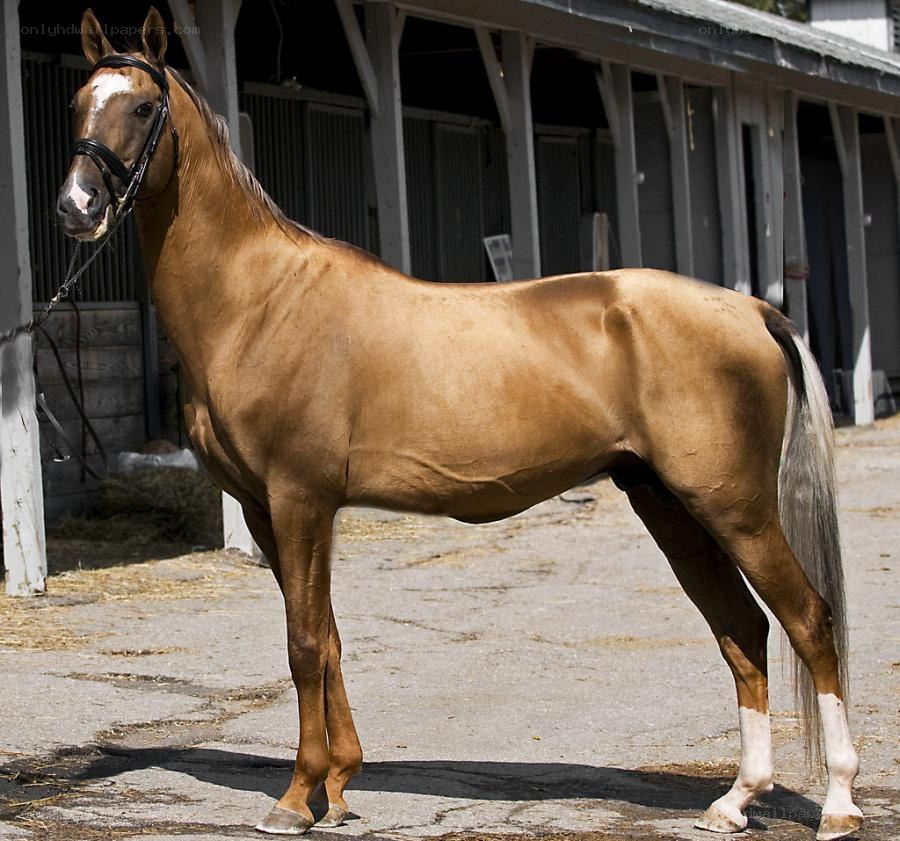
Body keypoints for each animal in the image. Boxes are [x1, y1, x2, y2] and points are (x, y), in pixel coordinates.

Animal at [55, 9, 863, 840]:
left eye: (142, 107)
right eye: (78, 101)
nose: (77, 207)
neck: (260, 301)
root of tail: (753, 309)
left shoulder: (300, 499)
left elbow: (305, 642)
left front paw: (295, 795)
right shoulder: (263, 508)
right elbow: (330, 636)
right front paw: (338, 785)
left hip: (735, 508)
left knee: (809, 620)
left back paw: (837, 801)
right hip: (669, 505)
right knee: (742, 629)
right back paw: (735, 799)